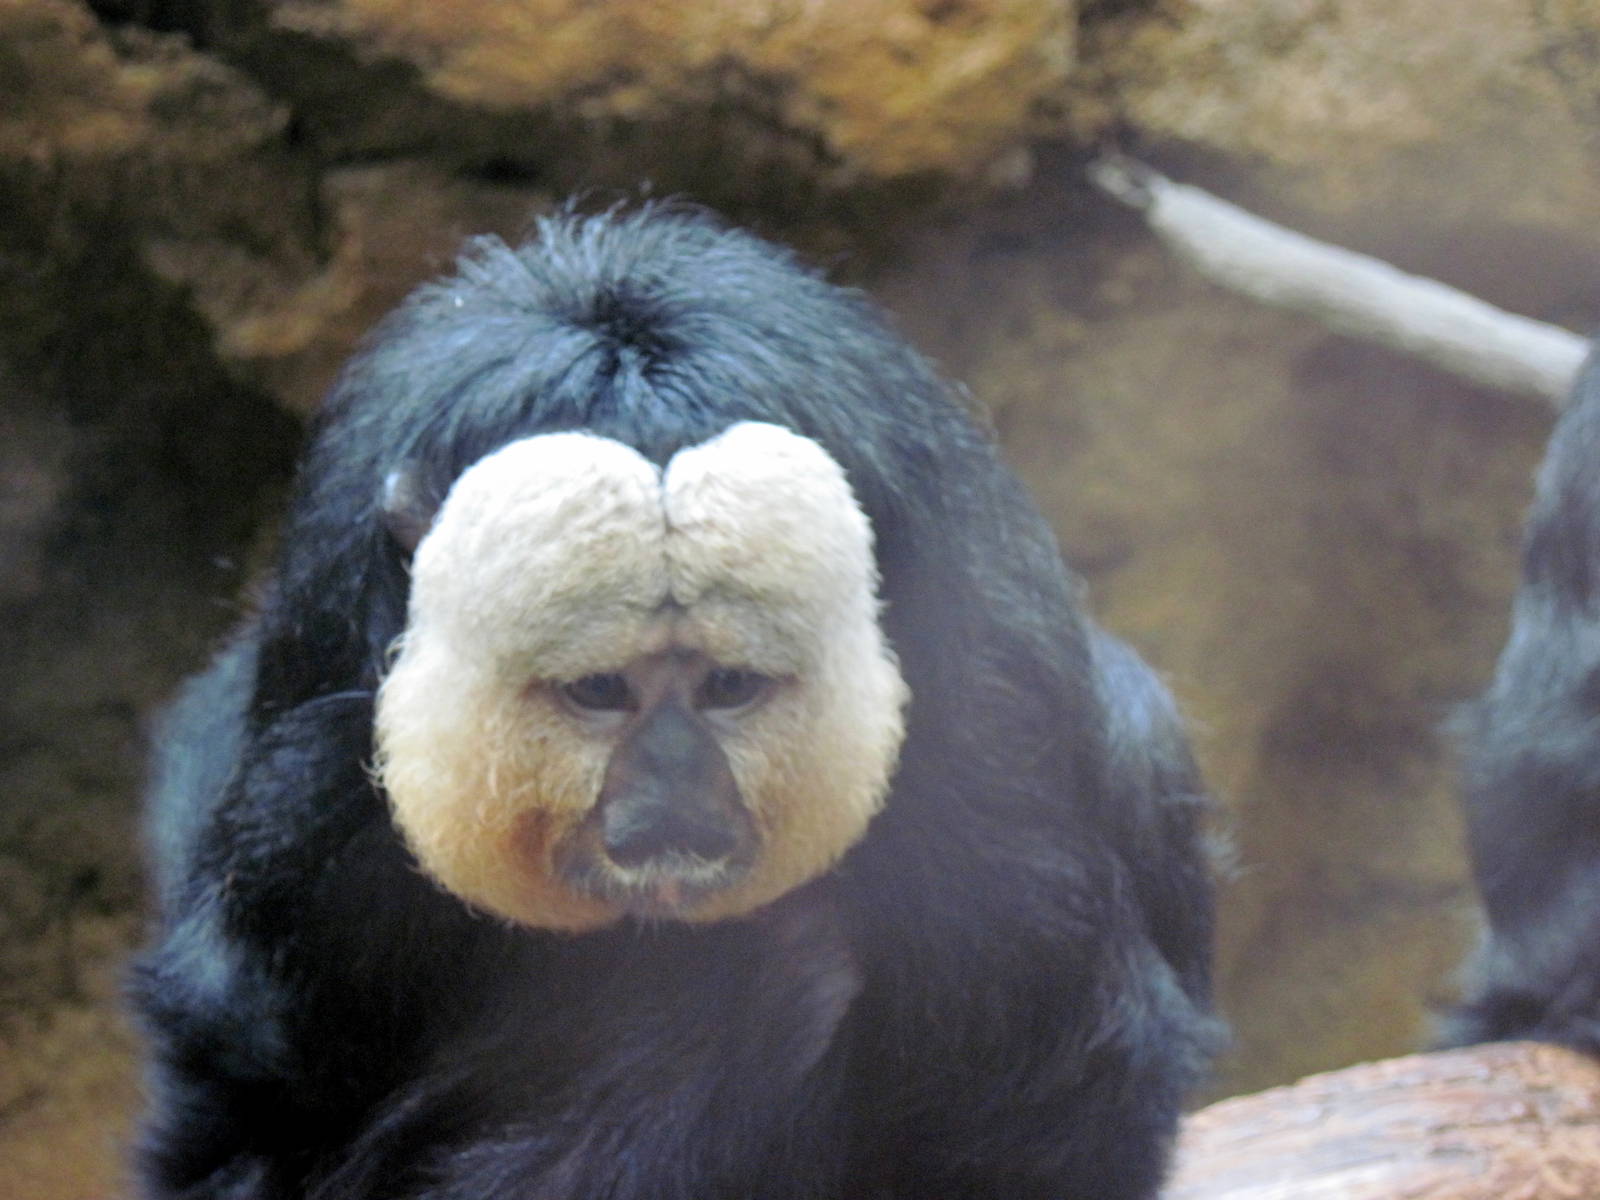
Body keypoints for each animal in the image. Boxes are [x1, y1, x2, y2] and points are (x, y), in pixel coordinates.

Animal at [131, 203, 1220, 1200]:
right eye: (599, 693)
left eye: (727, 688)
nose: (669, 802)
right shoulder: (304, 786)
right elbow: (244, 1100)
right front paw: (749, 1003)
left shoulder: (993, 750)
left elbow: (1062, 1089)